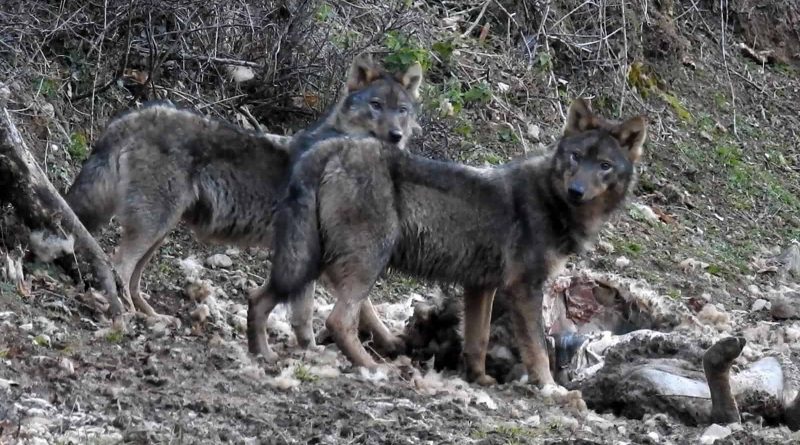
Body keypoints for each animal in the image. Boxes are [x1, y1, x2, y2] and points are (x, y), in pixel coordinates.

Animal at [63, 53, 423, 352]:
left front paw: (316, 347)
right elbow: (352, 306)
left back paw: (152, 317)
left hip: (159, 230)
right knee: (118, 266)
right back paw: (127, 316)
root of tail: (131, 116)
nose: (395, 136)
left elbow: (325, 310)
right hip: (153, 226)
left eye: (402, 111)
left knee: (133, 277)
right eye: (376, 105)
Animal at [247, 98, 647, 386]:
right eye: (576, 157)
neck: (553, 202)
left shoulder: (481, 287)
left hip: (312, 261)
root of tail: (330, 147)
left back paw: (261, 355)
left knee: (258, 298)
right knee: (337, 321)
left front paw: (480, 379)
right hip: (364, 262)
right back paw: (375, 368)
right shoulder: (524, 289)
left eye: (604, 166)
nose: (576, 191)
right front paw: (552, 391)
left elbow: (478, 341)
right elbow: (536, 349)